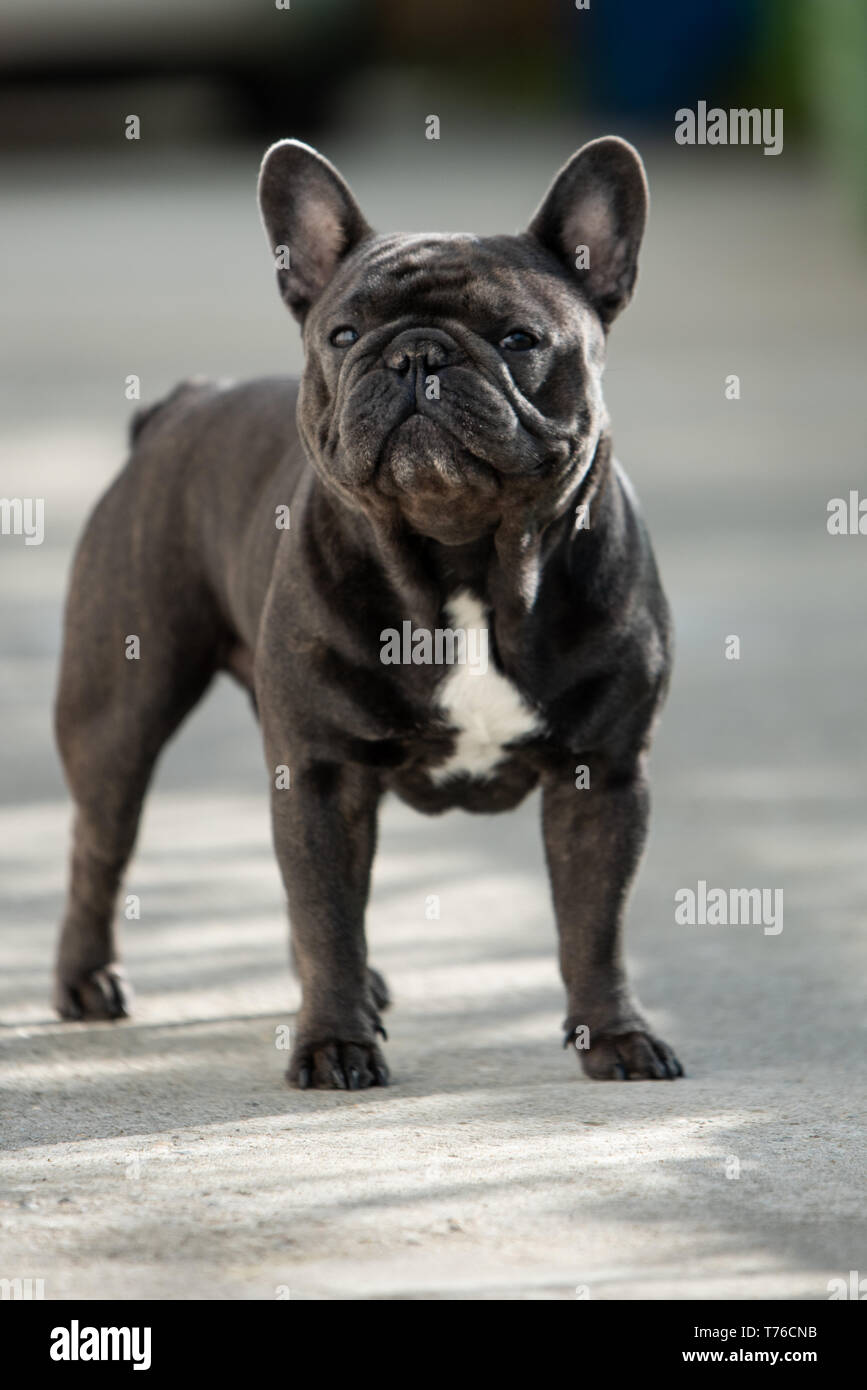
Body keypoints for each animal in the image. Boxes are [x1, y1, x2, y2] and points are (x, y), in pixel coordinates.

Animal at [54, 138, 683, 1084]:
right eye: (344, 336)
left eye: (518, 339)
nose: (416, 355)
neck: (463, 564)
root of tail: (183, 403)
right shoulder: (324, 772)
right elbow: (328, 912)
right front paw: (333, 1043)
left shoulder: (600, 777)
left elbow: (592, 924)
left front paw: (613, 1035)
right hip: (120, 714)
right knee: (102, 844)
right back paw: (86, 981)